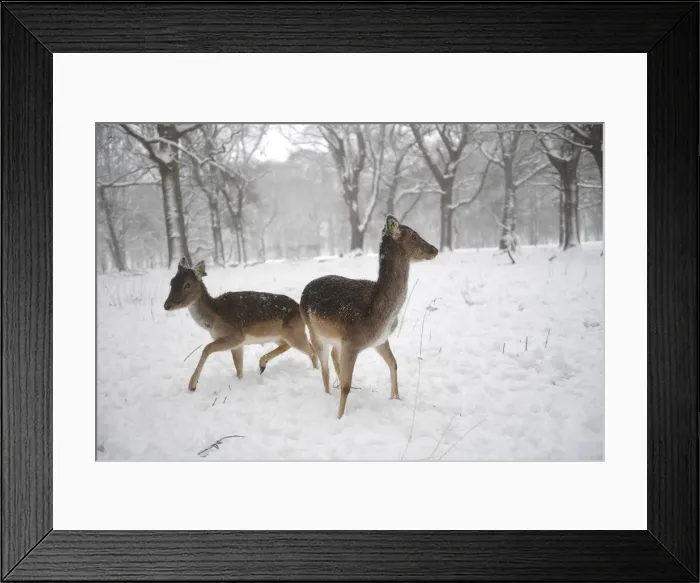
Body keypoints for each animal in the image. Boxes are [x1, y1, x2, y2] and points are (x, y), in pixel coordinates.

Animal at [164, 257, 318, 391]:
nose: (166, 305)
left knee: (311, 349)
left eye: (187, 284)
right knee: (288, 345)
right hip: (279, 336)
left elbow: (206, 348)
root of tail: (300, 308)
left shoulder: (236, 336)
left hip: (295, 332)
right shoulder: (237, 345)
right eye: (171, 282)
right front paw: (239, 381)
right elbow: (239, 369)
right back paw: (262, 365)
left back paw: (315, 372)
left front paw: (192, 386)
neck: (213, 319)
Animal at [300, 215, 438, 419]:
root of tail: (304, 290)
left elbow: (394, 363)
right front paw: (339, 417)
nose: (435, 249)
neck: (382, 313)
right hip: (314, 332)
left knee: (334, 356)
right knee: (324, 368)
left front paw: (396, 398)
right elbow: (346, 386)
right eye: (414, 235)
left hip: (335, 339)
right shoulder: (351, 343)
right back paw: (328, 394)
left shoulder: (379, 340)